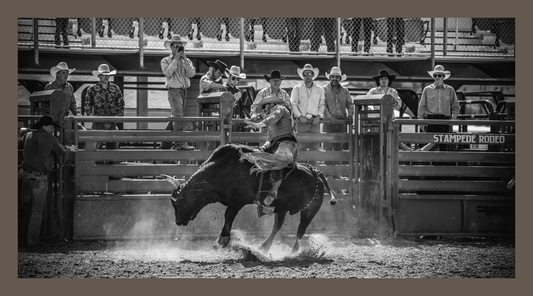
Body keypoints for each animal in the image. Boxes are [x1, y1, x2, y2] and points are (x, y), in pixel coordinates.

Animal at [162, 142, 336, 253]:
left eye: (178, 202)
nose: (178, 221)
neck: (222, 170)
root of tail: (316, 172)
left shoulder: (238, 201)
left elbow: (228, 216)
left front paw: (222, 241)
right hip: (282, 208)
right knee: (277, 226)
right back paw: (264, 247)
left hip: (310, 210)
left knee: (300, 230)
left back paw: (294, 251)